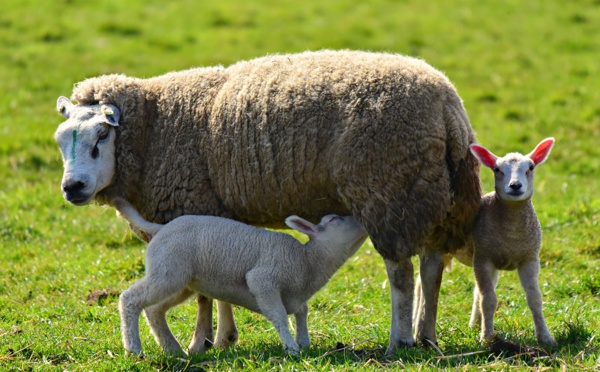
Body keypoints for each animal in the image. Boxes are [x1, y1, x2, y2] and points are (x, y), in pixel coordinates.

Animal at [110, 198, 368, 354]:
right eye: (334, 219)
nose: (360, 218)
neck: (307, 261)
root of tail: (160, 228)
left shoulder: (296, 296)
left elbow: (302, 312)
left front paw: (303, 343)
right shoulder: (263, 280)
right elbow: (279, 315)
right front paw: (291, 348)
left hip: (182, 280)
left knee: (154, 310)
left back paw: (173, 350)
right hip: (168, 271)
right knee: (129, 299)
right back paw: (134, 349)